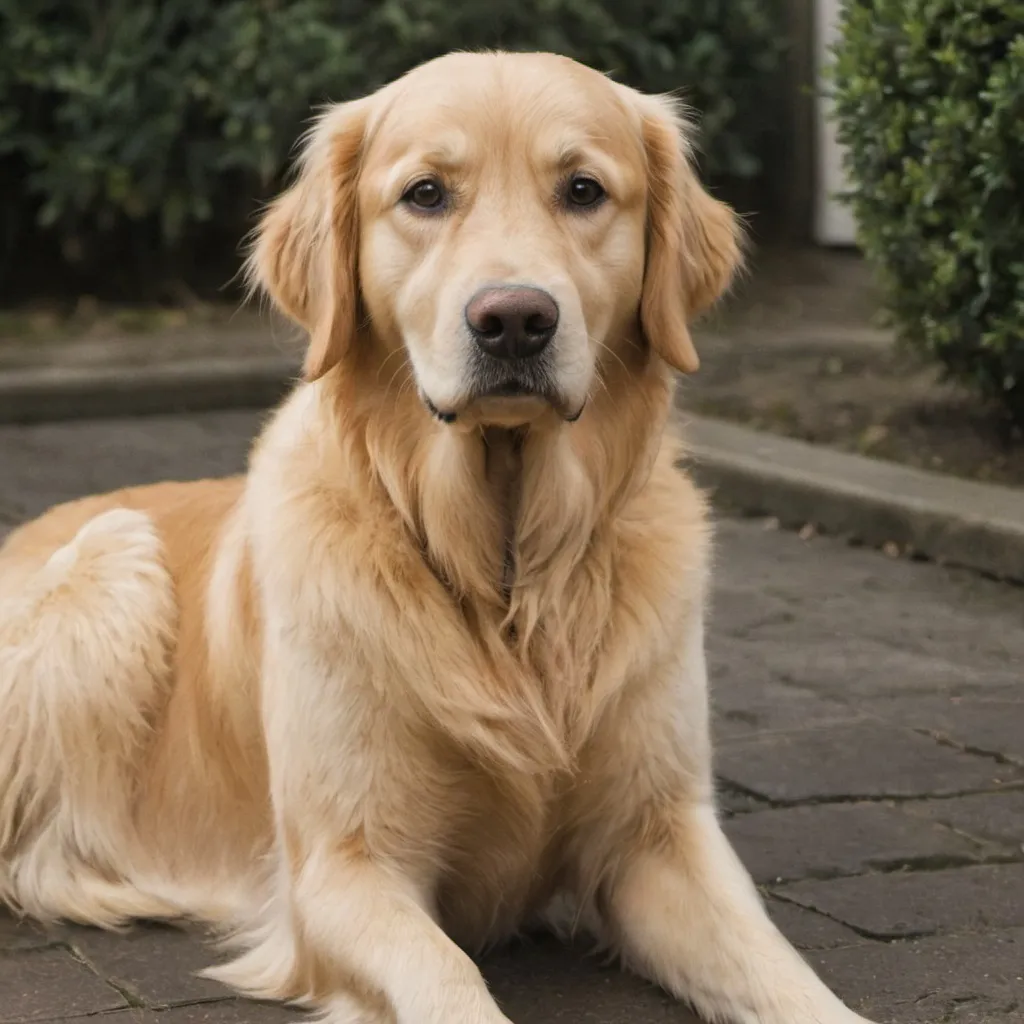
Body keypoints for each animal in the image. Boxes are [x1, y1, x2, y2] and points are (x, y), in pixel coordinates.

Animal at [0, 54, 872, 1024]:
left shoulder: (660, 834)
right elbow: (449, 975)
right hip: (116, 563)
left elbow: (786, 975)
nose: (515, 320)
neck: (506, 574)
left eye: (583, 189)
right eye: (425, 193)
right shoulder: (346, 864)